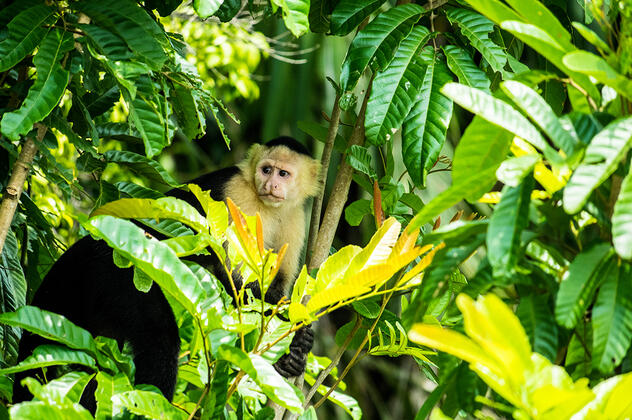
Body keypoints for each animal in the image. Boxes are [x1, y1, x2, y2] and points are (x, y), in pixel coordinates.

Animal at [13, 136, 321, 409]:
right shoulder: (237, 197)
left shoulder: (295, 218)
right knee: (159, 337)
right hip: (117, 274)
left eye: (283, 173)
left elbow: (278, 286)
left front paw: (293, 351)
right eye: (266, 169)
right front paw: (292, 335)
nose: (271, 184)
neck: (267, 205)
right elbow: (231, 276)